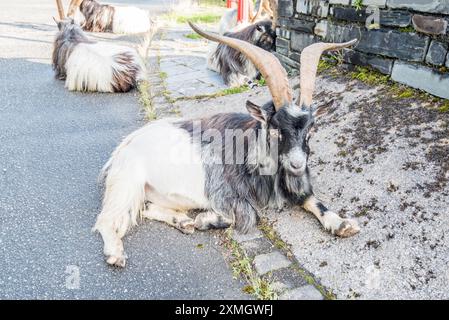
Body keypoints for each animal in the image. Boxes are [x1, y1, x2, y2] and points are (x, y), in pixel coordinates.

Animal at [93, 21, 360, 268]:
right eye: (275, 127)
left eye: (311, 128)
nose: (297, 164)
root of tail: (125, 146)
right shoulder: (225, 192)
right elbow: (248, 215)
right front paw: (206, 220)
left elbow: (313, 201)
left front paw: (343, 224)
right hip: (126, 184)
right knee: (106, 219)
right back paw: (116, 253)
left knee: (147, 207)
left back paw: (184, 222)